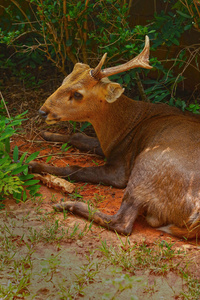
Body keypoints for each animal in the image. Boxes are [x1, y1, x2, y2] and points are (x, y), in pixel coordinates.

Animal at [29, 37, 200, 239]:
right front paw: (46, 134)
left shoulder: (120, 169)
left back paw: (66, 204)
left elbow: (75, 169)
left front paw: (34, 165)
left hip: (147, 167)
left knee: (122, 223)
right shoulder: (108, 146)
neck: (126, 125)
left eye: (78, 94)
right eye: (64, 81)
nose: (43, 111)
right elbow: (78, 136)